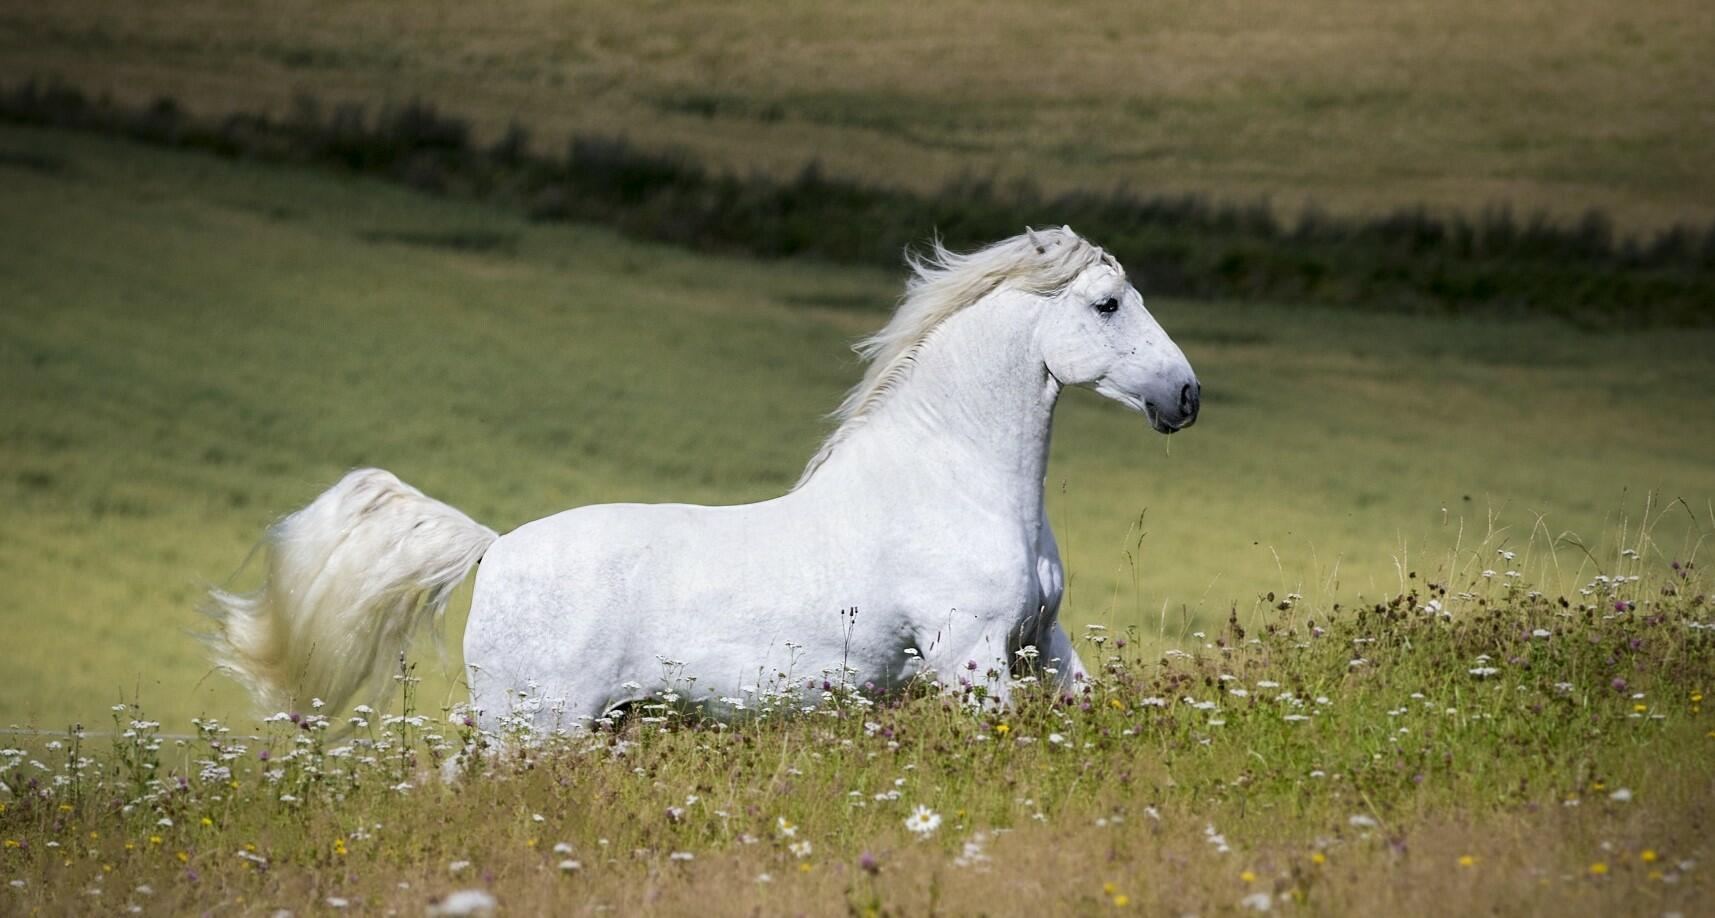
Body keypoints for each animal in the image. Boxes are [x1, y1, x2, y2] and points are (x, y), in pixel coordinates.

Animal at [207, 226, 1200, 730]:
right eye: (1107, 304)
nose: (1184, 397)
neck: (950, 487)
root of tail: (494, 549)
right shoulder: (971, 655)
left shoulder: (1045, 643)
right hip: (534, 726)